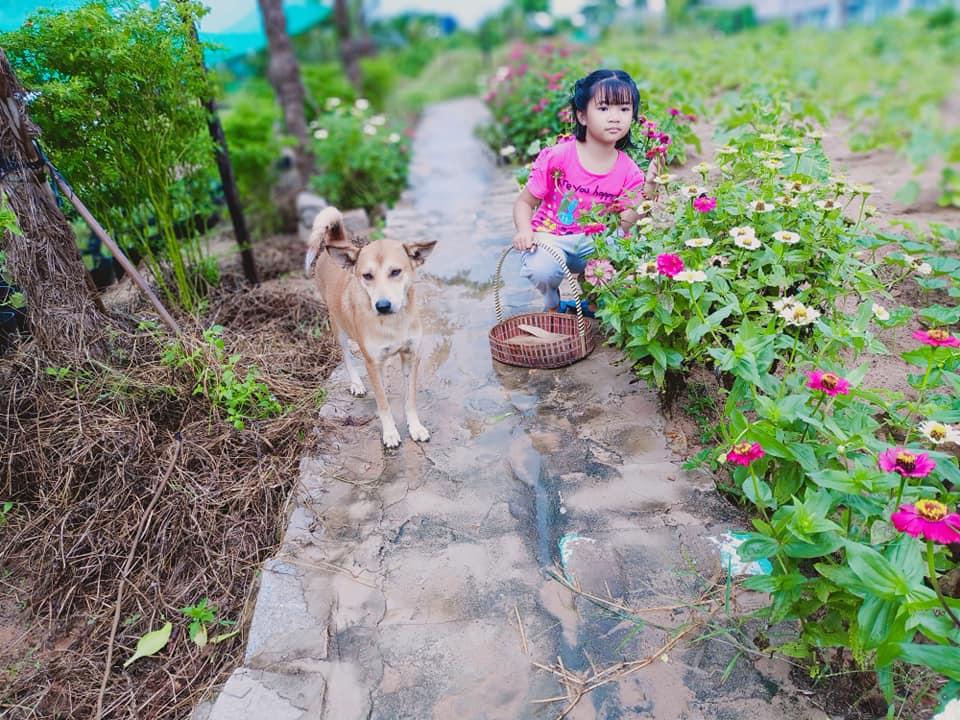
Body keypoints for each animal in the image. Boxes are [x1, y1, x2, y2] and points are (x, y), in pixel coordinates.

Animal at [306, 205, 436, 448]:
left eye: (396, 272)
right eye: (367, 275)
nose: (382, 305)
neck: (393, 323)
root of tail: (337, 243)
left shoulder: (410, 356)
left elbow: (410, 398)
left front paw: (415, 427)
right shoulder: (372, 362)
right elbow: (383, 403)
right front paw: (390, 433)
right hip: (338, 326)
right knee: (347, 356)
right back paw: (356, 383)